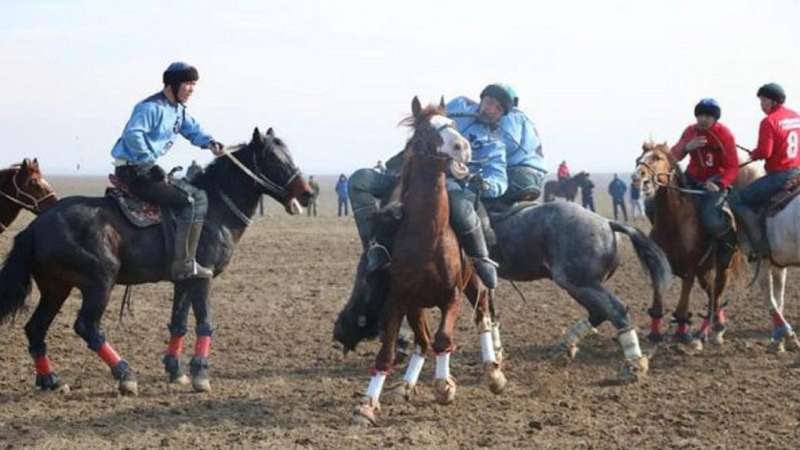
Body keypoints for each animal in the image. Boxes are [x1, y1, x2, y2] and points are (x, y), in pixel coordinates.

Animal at [0, 126, 312, 394]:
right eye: (274, 159)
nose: (307, 193)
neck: (216, 210)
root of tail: (35, 227)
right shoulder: (202, 277)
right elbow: (204, 322)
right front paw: (200, 375)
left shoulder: (184, 279)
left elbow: (179, 322)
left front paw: (176, 371)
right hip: (99, 282)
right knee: (87, 326)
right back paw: (125, 375)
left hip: (56, 288)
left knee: (35, 328)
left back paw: (50, 379)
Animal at [334, 200, 672, 380]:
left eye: (366, 283)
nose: (338, 332)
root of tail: (606, 222)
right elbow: (489, 313)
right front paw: (495, 353)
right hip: (581, 284)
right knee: (600, 312)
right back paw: (566, 347)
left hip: (579, 282)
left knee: (616, 310)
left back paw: (634, 364)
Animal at [352, 98, 506, 426]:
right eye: (424, 131)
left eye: (454, 125)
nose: (463, 147)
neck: (427, 238)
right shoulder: (398, 299)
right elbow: (387, 353)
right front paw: (367, 404)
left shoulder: (452, 296)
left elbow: (443, 338)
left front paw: (444, 386)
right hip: (416, 305)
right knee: (422, 342)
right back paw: (405, 385)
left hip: (475, 283)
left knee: (483, 316)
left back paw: (493, 372)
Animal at [632, 142, 752, 346]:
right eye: (638, 158)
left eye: (657, 157)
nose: (638, 177)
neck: (673, 222)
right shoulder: (659, 265)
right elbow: (658, 301)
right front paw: (655, 333)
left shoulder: (690, 268)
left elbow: (683, 302)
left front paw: (682, 333)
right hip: (704, 271)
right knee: (712, 293)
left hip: (721, 265)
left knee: (717, 293)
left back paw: (717, 328)